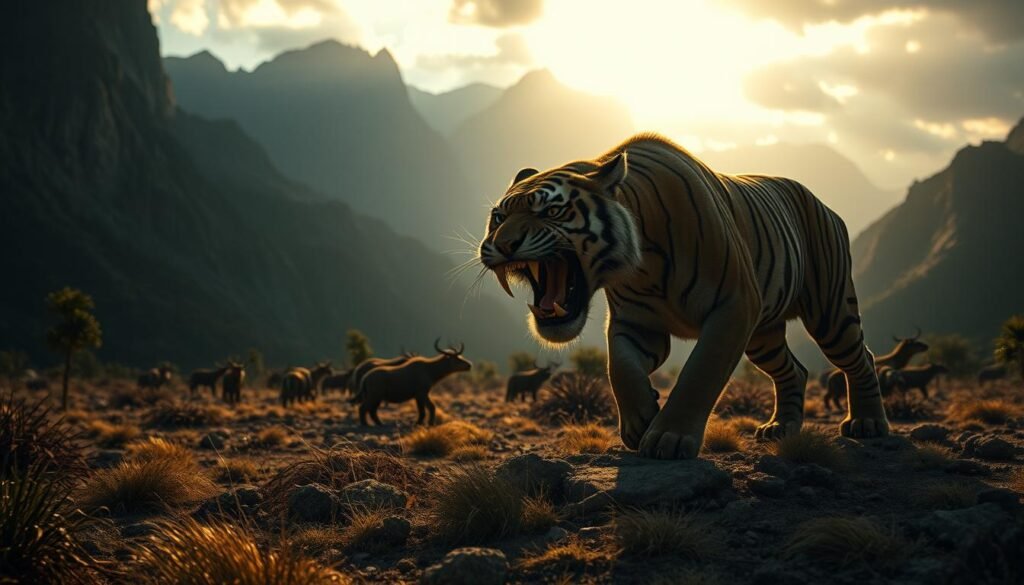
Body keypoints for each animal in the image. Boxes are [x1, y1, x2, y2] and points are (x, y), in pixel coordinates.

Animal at [478, 133, 890, 459]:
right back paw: (780, 427)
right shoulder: (636, 323)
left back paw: (867, 422)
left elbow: (699, 373)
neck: (642, 261)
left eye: (551, 210)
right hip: (764, 337)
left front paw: (669, 438)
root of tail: (823, 204)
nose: (502, 245)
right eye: (498, 217)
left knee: (860, 357)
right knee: (795, 370)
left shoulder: (733, 307)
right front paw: (640, 419)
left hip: (830, 313)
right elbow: (620, 368)